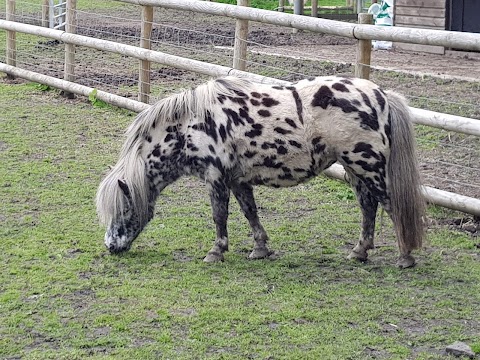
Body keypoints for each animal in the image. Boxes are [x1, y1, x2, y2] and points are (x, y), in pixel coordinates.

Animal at [95, 76, 426, 268]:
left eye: (122, 209)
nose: (110, 246)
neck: (190, 126)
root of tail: (381, 95)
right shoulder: (238, 180)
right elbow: (250, 213)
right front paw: (260, 249)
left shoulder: (216, 178)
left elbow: (219, 216)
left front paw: (216, 252)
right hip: (354, 169)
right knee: (368, 207)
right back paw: (359, 252)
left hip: (368, 167)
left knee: (390, 205)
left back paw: (405, 256)